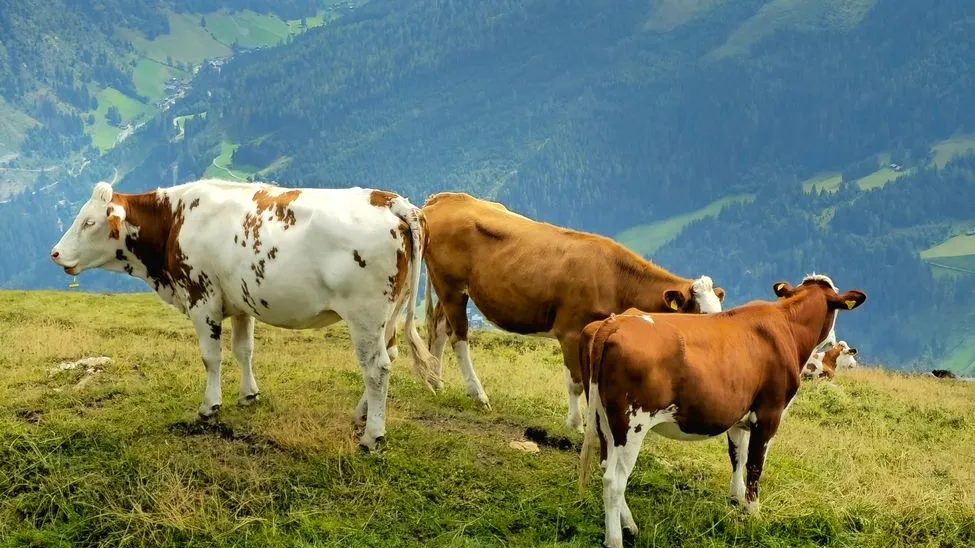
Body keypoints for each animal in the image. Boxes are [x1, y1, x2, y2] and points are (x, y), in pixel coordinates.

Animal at [50, 179, 441, 450]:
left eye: (88, 222)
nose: (54, 253)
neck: (175, 219)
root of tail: (389, 199)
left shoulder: (202, 296)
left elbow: (211, 357)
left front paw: (210, 406)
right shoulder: (240, 302)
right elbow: (243, 350)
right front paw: (249, 394)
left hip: (364, 314)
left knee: (377, 368)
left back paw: (372, 435)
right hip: (389, 313)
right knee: (389, 355)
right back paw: (361, 415)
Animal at [420, 191, 726, 432]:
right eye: (698, 316)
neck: (614, 278)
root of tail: (445, 198)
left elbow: (594, 383)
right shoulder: (570, 332)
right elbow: (577, 382)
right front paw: (576, 424)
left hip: (448, 289)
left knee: (439, 329)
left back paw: (435, 384)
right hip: (451, 286)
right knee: (458, 337)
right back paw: (477, 394)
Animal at [576, 274, 866, 548]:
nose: (832, 340)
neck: (788, 328)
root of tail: (613, 323)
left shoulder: (739, 416)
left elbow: (737, 456)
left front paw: (736, 499)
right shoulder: (769, 413)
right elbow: (755, 465)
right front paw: (753, 512)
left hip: (604, 419)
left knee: (606, 464)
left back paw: (630, 524)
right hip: (632, 423)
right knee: (614, 480)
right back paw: (615, 539)